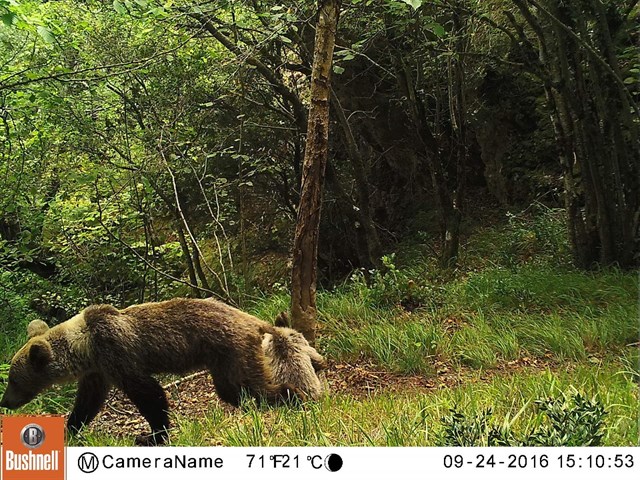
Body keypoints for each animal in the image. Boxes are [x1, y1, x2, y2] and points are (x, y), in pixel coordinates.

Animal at [0, 298, 303, 445]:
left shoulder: (117, 353)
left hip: (233, 351)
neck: (84, 348)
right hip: (222, 363)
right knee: (234, 391)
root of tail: (254, 320)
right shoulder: (98, 371)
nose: (5, 402)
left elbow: (148, 392)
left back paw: (295, 397)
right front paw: (70, 429)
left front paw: (151, 436)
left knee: (255, 386)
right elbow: (87, 402)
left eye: (13, 379)